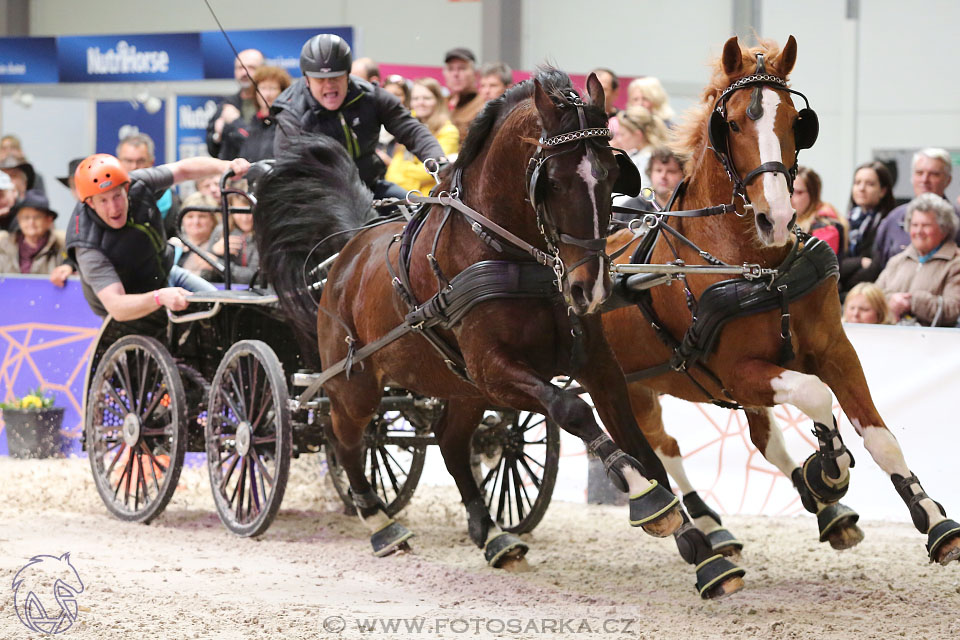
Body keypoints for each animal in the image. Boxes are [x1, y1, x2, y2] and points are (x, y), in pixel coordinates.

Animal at [253, 67, 744, 596]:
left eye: (613, 176)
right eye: (553, 181)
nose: (589, 286)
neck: (510, 255)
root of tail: (347, 251)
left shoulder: (596, 365)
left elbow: (641, 447)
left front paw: (703, 553)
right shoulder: (495, 371)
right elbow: (571, 410)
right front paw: (646, 500)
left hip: (460, 387)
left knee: (448, 442)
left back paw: (493, 536)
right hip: (356, 382)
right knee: (344, 437)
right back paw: (382, 524)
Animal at [604, 35, 956, 568]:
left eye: (796, 121)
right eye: (730, 123)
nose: (778, 217)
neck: (759, 268)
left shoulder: (833, 349)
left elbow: (881, 438)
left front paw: (935, 522)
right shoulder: (736, 371)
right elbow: (815, 394)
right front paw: (829, 468)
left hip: (645, 385)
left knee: (692, 445)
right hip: (620, 385)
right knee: (649, 454)